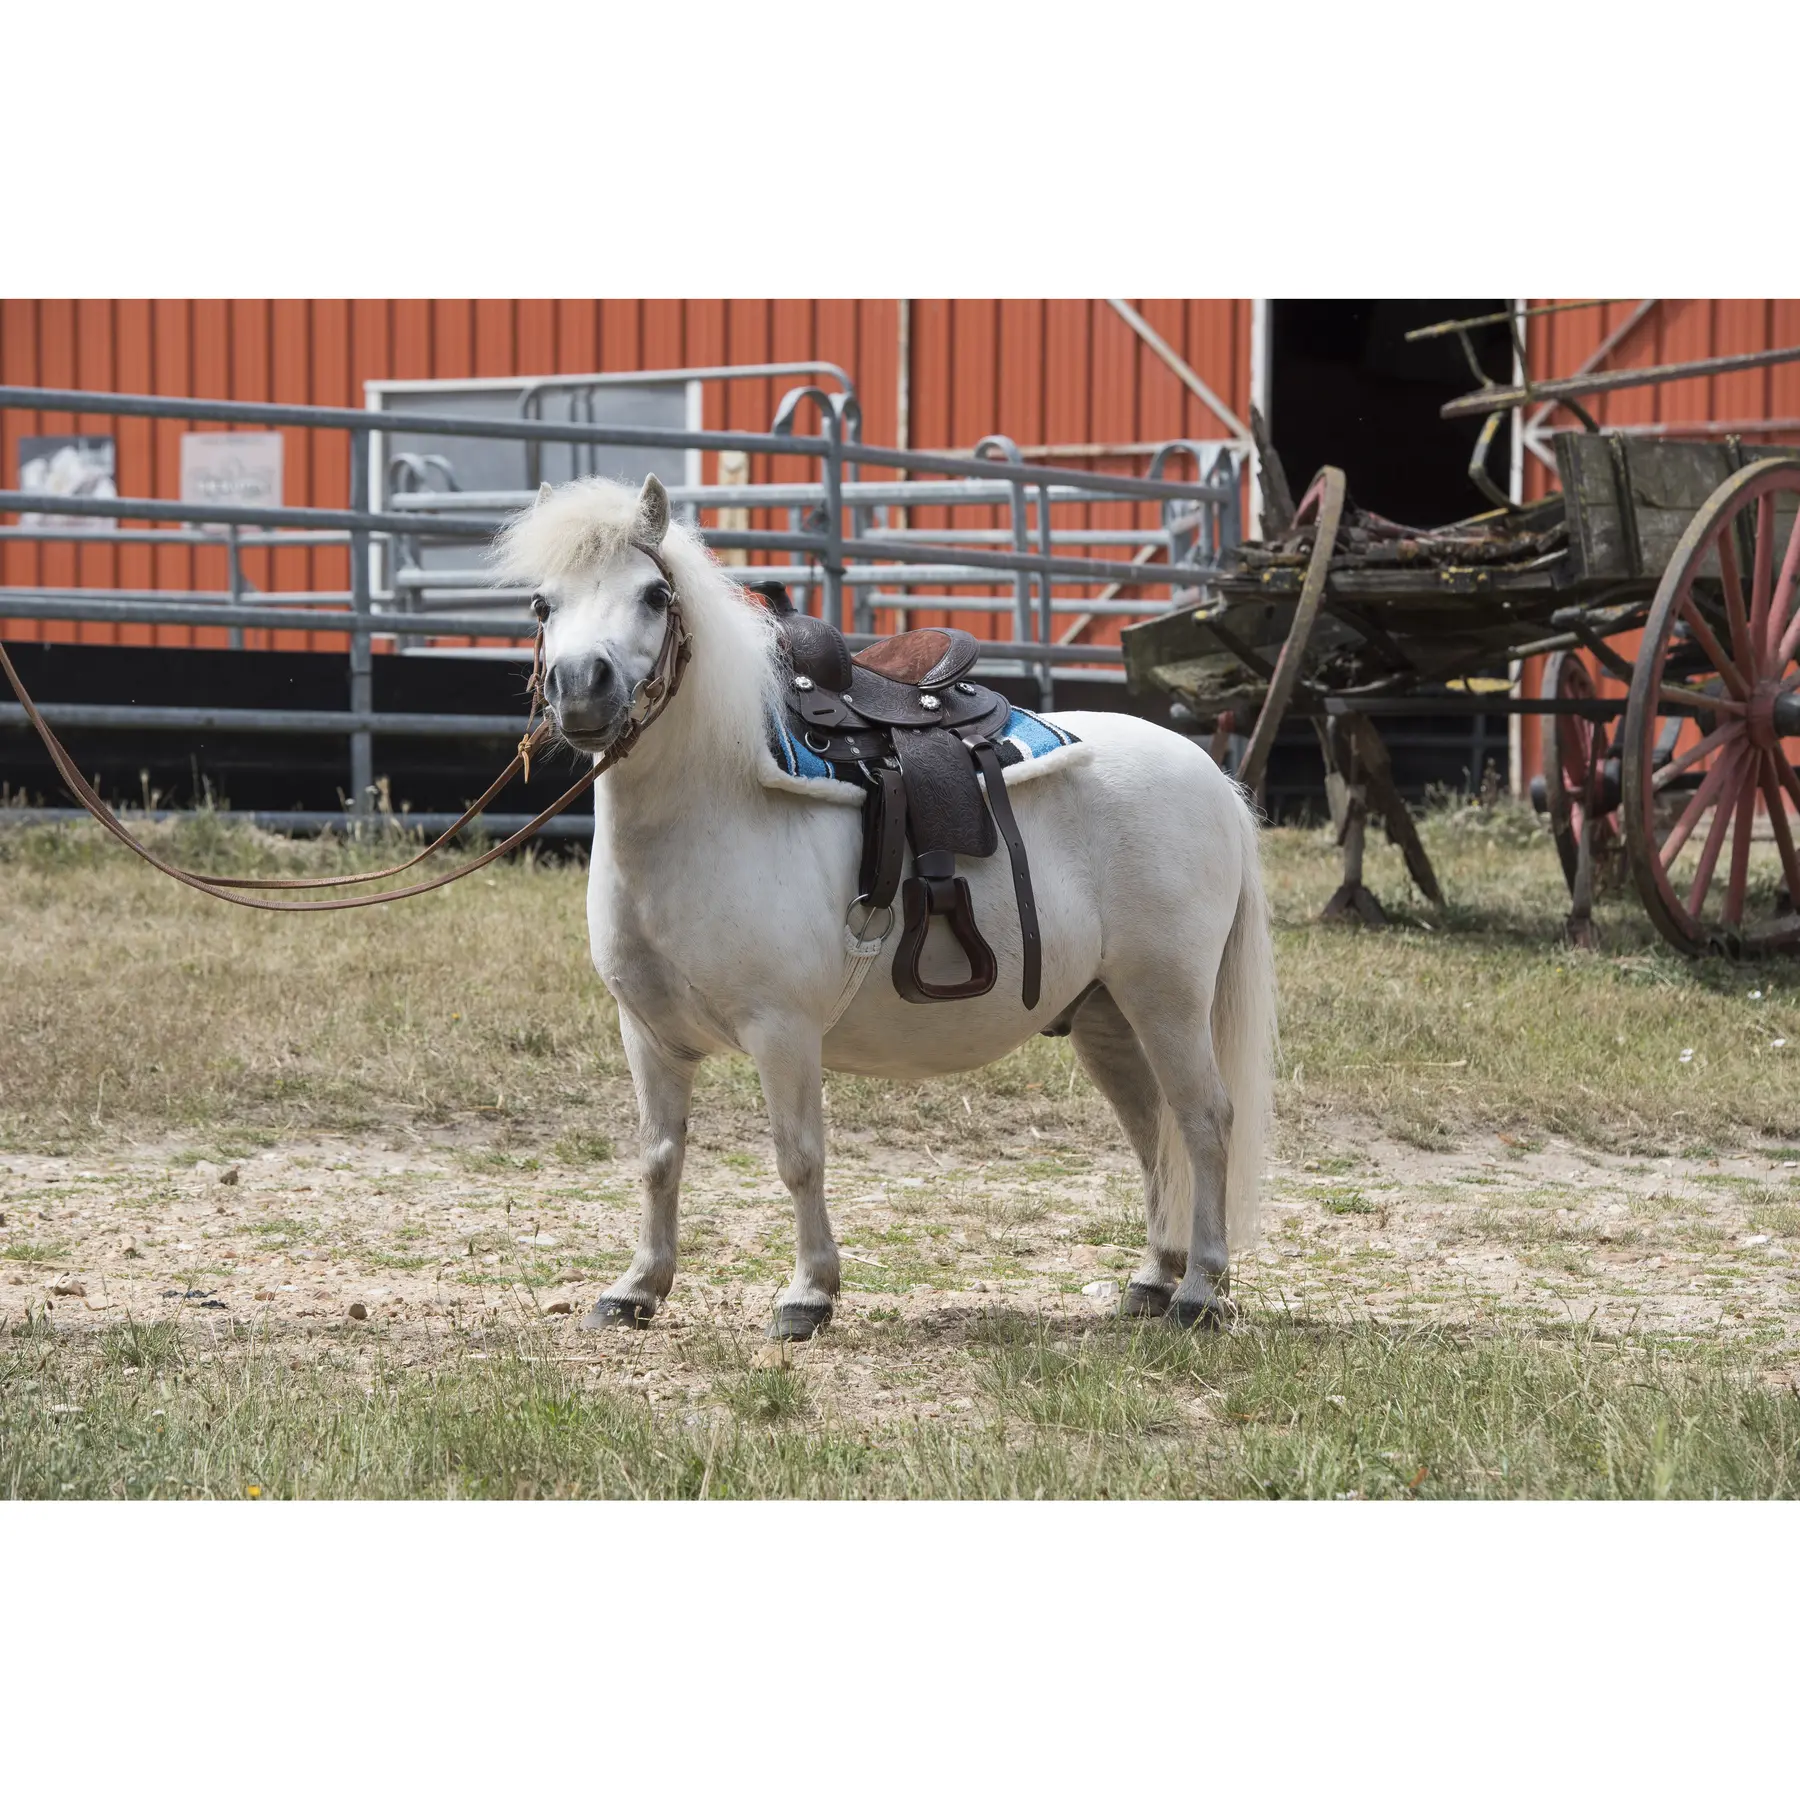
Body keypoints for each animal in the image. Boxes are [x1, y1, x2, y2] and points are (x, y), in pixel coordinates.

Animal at [495, 472, 1277, 1340]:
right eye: (541, 603)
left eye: (655, 595)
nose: (579, 688)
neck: (714, 804)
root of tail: (1212, 777)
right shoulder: (649, 1033)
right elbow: (659, 1157)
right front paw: (637, 1288)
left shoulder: (782, 1030)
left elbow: (798, 1156)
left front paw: (808, 1294)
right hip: (1108, 1015)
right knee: (1152, 1132)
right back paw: (1151, 1280)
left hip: (1167, 997)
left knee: (1204, 1121)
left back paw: (1201, 1291)